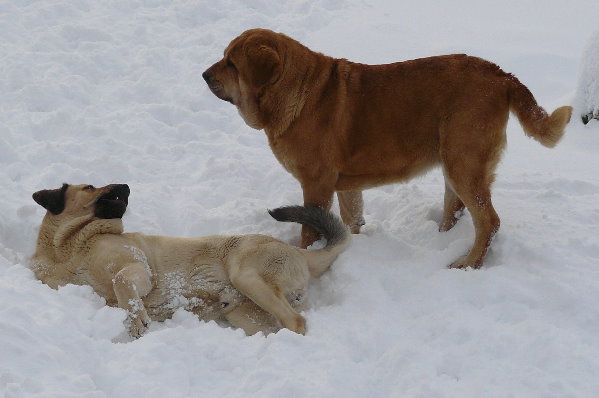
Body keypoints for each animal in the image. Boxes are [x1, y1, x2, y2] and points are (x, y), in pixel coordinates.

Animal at [31, 183, 352, 336]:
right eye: (89, 187)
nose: (126, 186)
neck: (70, 246)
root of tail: (300, 253)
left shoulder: (137, 267)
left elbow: (121, 283)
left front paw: (136, 321)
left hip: (247, 276)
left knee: (296, 322)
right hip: (246, 314)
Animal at [204, 28, 576, 270]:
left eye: (232, 63)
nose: (204, 74)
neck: (294, 91)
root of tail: (502, 75)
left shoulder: (316, 184)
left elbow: (310, 230)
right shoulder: (346, 187)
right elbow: (351, 220)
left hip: (464, 164)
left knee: (489, 221)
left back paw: (467, 263)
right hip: (453, 165)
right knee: (454, 211)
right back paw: (442, 244)